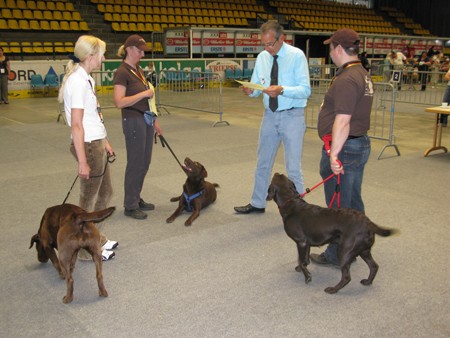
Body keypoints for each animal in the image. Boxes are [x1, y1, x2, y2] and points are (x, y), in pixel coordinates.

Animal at [266, 173, 396, 294]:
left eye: (275, 177)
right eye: (282, 176)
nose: (277, 172)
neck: (290, 201)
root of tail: (368, 222)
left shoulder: (301, 242)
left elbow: (301, 261)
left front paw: (307, 277)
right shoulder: (307, 243)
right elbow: (305, 260)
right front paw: (301, 269)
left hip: (345, 250)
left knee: (347, 277)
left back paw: (333, 289)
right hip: (363, 250)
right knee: (374, 266)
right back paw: (368, 282)